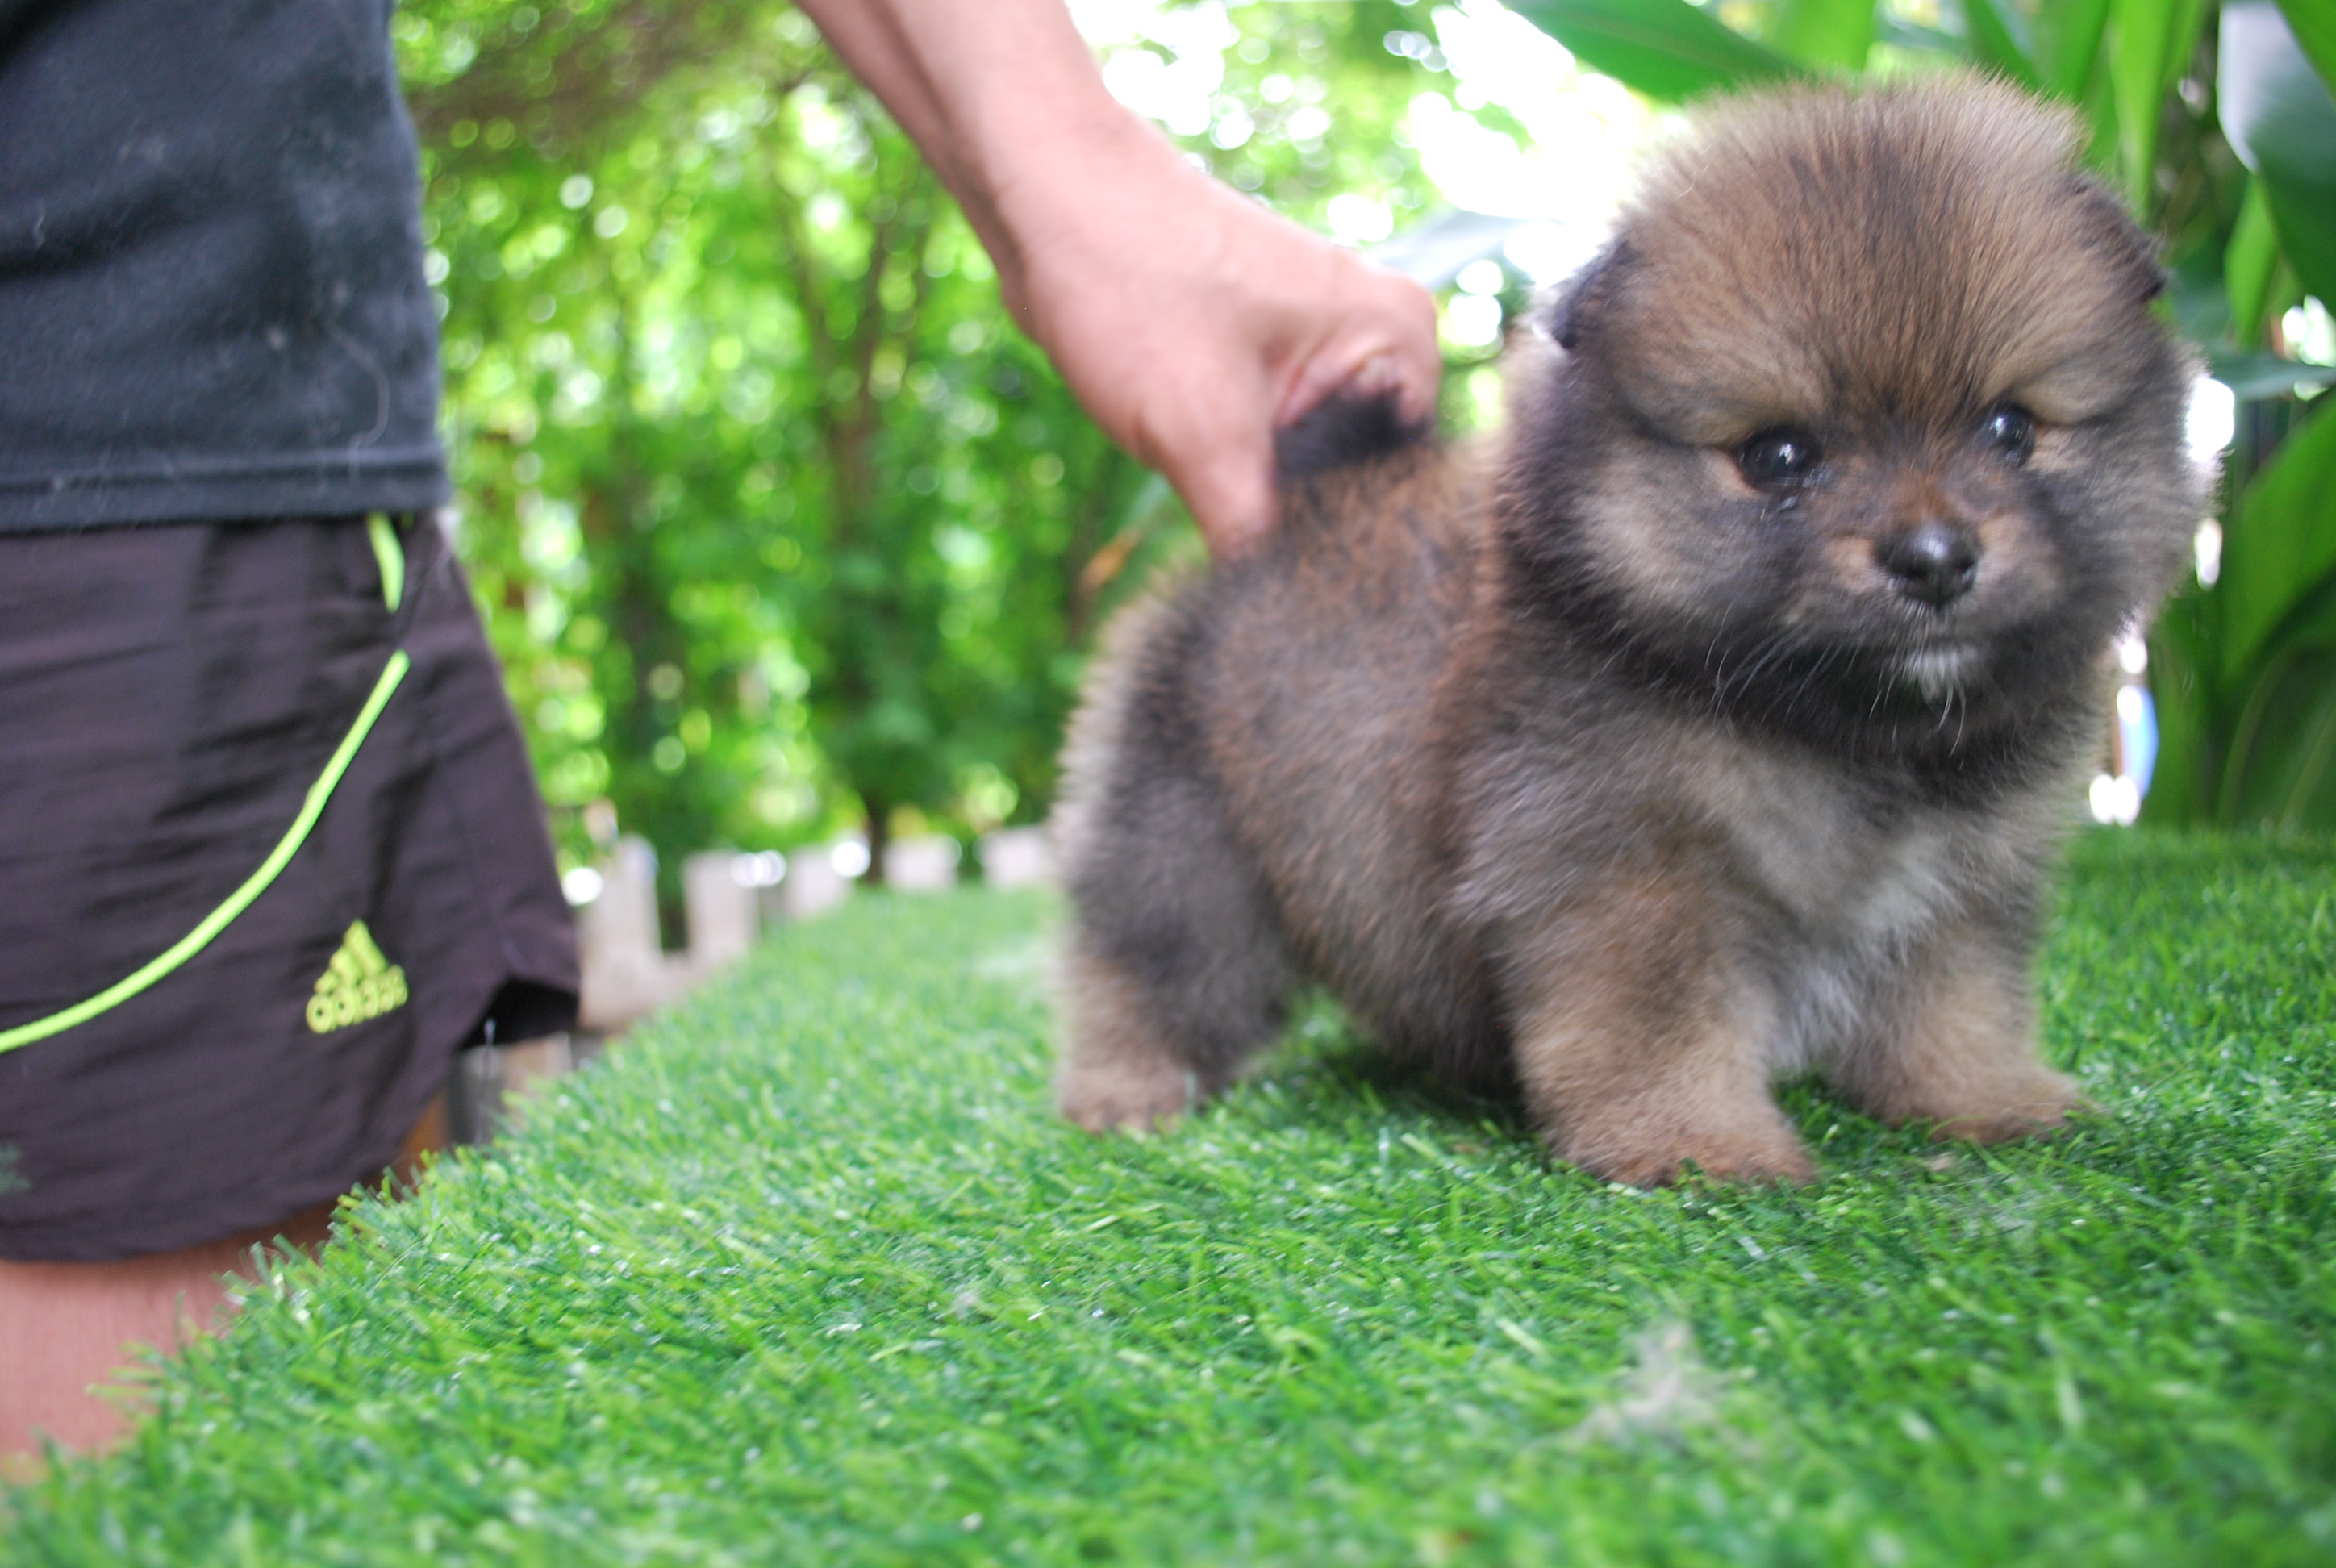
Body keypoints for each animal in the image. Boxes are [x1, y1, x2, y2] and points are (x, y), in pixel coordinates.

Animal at [1050, 78, 2205, 1185]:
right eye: (1779, 457)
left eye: (2010, 429)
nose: (1933, 558)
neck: (1847, 736)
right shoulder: (1627, 873)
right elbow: (1660, 1027)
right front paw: (1695, 1146)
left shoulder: (1961, 880)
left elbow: (1955, 1005)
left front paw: (1991, 1101)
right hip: (1188, 843)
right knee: (1150, 965)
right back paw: (1127, 1091)